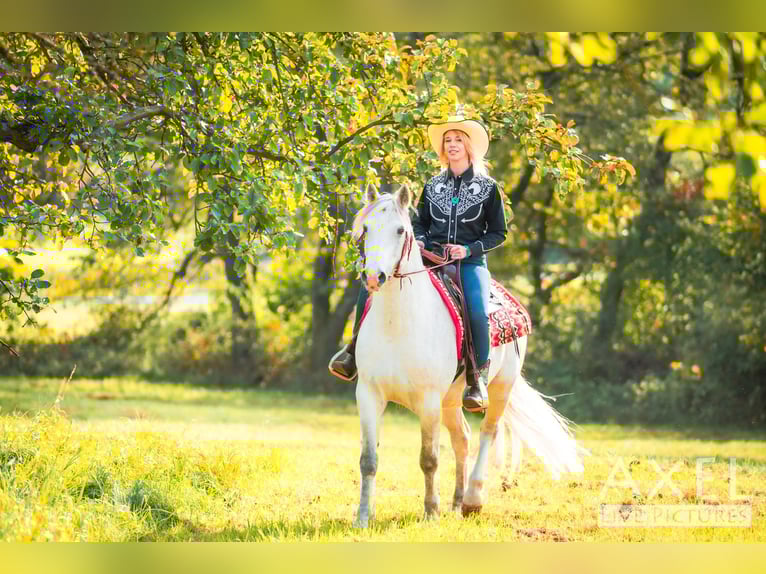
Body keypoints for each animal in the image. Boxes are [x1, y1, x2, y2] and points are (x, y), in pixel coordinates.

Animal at [349, 184, 585, 527]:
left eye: (400, 230)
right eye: (365, 229)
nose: (373, 278)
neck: (398, 323)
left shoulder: (428, 400)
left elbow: (429, 459)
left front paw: (430, 512)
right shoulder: (368, 394)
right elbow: (369, 459)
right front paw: (363, 517)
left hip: (500, 388)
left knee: (488, 432)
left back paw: (473, 499)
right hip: (450, 399)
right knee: (462, 437)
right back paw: (458, 500)